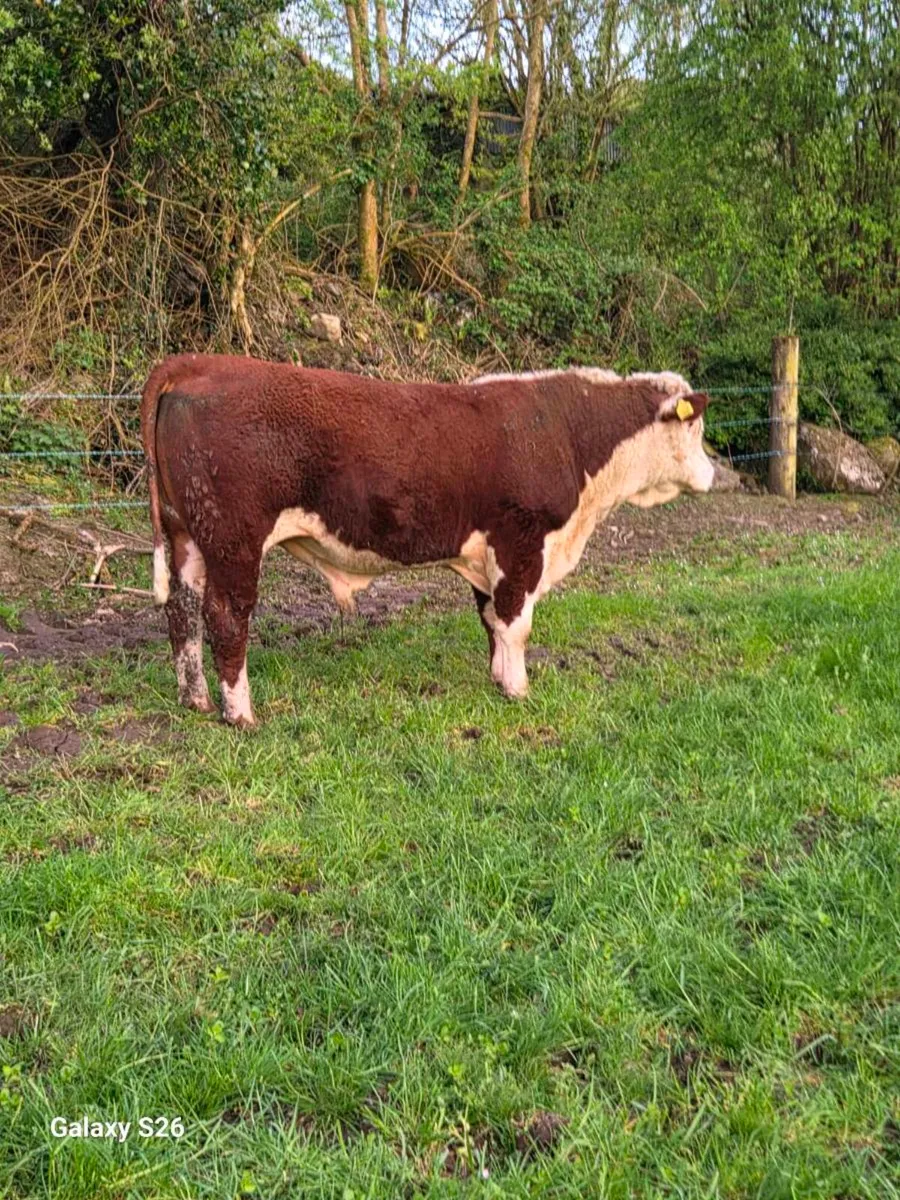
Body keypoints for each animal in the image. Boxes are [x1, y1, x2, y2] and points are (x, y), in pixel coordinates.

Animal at [141, 355, 714, 727]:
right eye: (696, 429)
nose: (714, 475)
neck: (566, 432)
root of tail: (195, 362)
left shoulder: (487, 554)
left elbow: (491, 619)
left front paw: (497, 679)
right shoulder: (522, 542)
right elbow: (516, 622)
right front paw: (518, 689)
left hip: (188, 534)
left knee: (183, 612)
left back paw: (194, 699)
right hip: (233, 538)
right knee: (226, 616)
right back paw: (241, 715)